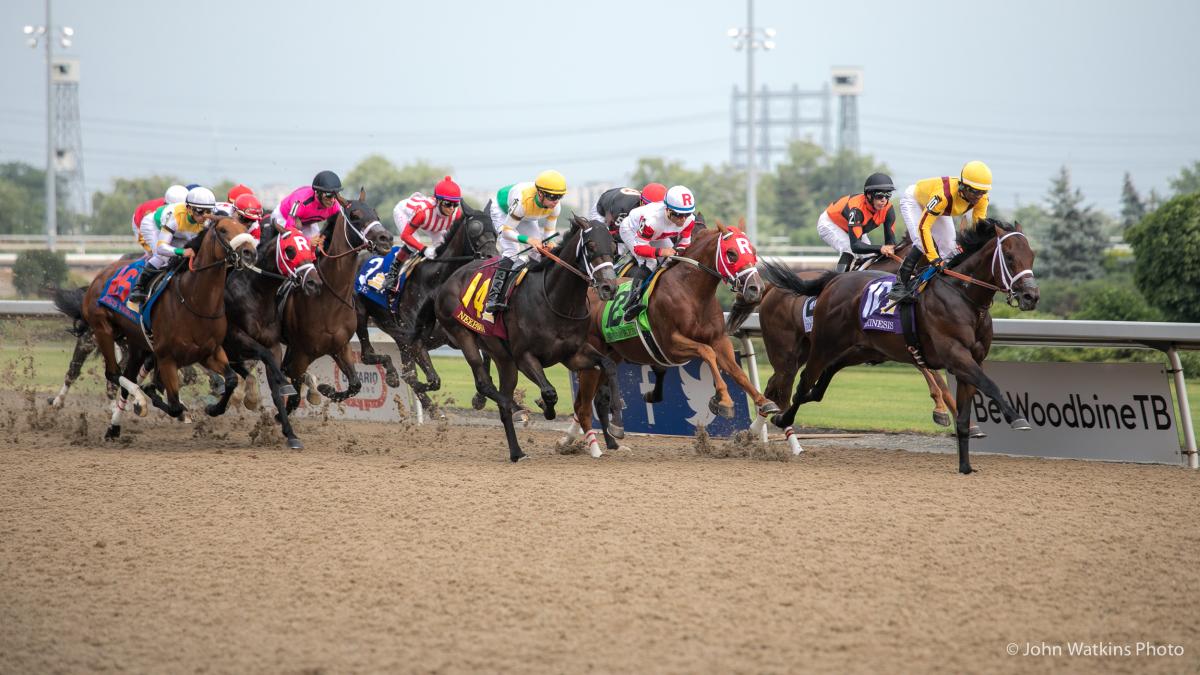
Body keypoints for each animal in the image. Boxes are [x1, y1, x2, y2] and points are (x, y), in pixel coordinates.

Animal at [63, 212, 258, 439]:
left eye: (243, 228)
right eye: (224, 230)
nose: (249, 253)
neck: (195, 301)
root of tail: (99, 275)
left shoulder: (210, 352)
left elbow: (231, 379)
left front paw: (214, 408)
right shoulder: (166, 358)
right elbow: (173, 405)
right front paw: (152, 397)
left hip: (137, 344)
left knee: (125, 377)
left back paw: (114, 427)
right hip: (103, 329)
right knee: (113, 373)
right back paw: (138, 400)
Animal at [280, 187, 393, 410]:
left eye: (376, 214)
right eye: (355, 216)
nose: (385, 238)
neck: (328, 301)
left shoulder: (340, 347)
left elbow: (356, 384)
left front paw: (325, 389)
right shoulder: (301, 355)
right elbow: (293, 393)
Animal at [350, 198, 496, 410]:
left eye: (495, 231)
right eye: (475, 230)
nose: (493, 257)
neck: (435, 282)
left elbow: (486, 356)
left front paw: (479, 397)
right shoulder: (416, 339)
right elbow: (430, 380)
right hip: (361, 316)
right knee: (367, 355)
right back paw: (395, 379)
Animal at [566, 220, 782, 456]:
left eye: (753, 251)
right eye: (731, 253)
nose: (756, 288)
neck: (691, 292)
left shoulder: (719, 339)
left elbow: (736, 371)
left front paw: (764, 401)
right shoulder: (670, 345)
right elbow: (707, 353)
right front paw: (723, 400)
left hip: (612, 355)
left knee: (590, 401)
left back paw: (591, 439)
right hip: (593, 354)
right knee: (582, 405)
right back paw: (589, 442)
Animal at [768, 218, 1041, 470]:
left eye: (1032, 255)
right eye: (1009, 256)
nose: (1031, 296)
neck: (962, 297)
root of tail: (834, 282)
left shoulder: (971, 360)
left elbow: (965, 413)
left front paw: (965, 466)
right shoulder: (954, 355)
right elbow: (989, 385)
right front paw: (1017, 418)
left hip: (861, 349)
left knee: (818, 378)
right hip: (818, 346)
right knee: (801, 383)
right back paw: (782, 420)